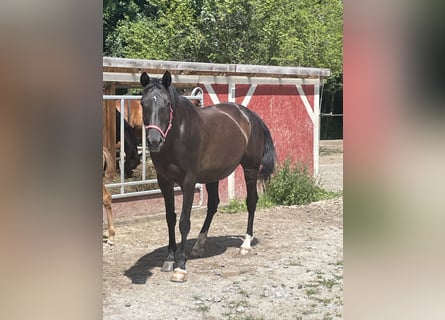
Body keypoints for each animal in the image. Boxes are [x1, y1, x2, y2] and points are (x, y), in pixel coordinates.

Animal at [140, 70, 276, 282]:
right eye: (142, 103)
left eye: (167, 104)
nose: (154, 141)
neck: (178, 135)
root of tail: (250, 116)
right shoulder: (164, 182)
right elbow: (170, 218)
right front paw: (170, 259)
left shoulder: (188, 182)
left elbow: (184, 222)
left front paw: (180, 266)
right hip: (214, 175)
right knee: (213, 205)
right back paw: (198, 246)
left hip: (250, 169)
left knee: (251, 201)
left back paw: (245, 244)